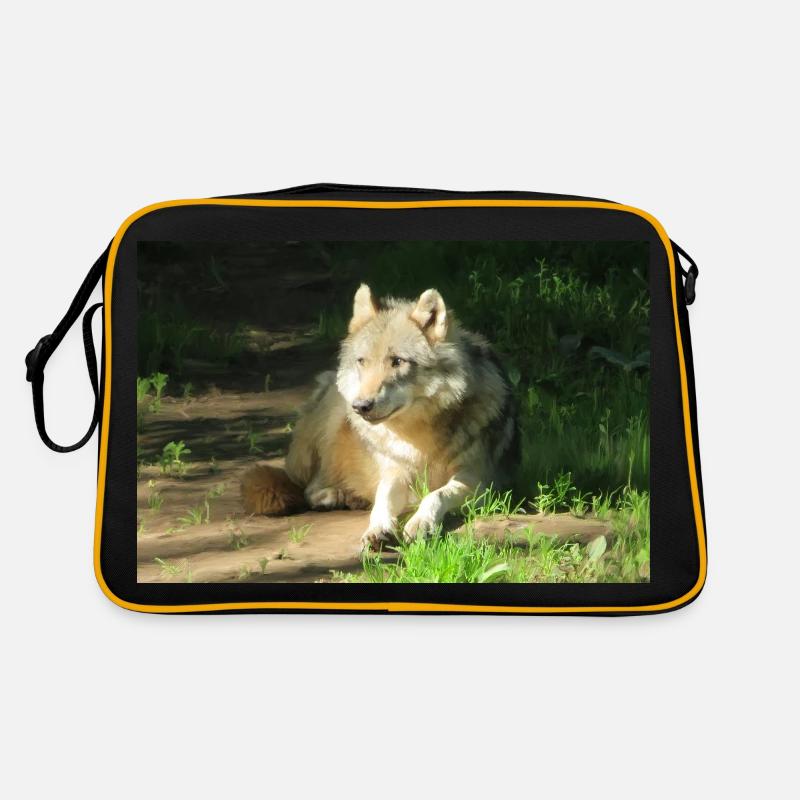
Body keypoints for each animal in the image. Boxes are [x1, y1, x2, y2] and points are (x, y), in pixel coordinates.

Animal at [241, 284, 517, 549]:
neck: (418, 438)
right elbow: (383, 500)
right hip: (335, 416)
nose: (361, 405)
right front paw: (377, 529)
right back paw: (338, 496)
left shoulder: (479, 483)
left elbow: (436, 495)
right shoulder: (394, 472)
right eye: (363, 361)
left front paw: (419, 523)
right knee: (308, 487)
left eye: (397, 361)